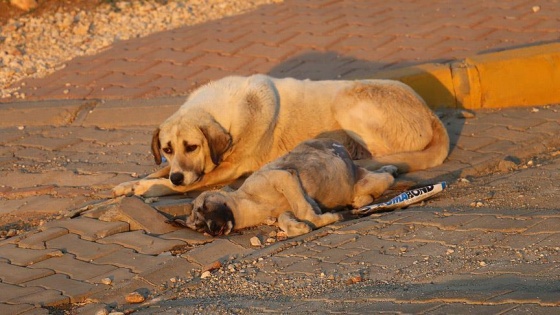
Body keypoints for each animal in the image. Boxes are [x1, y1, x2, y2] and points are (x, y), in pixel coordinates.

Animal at [111, 74, 448, 198]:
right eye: (167, 149)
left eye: (192, 147)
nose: (180, 177)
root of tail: (430, 112)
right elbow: (159, 171)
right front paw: (129, 184)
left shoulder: (224, 170)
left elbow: (169, 182)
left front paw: (145, 188)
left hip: (347, 98)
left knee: (378, 153)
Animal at [179, 139, 398, 238]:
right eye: (200, 227)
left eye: (204, 206)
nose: (213, 230)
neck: (247, 202)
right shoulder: (285, 208)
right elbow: (287, 219)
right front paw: (298, 227)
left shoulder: (283, 176)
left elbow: (305, 211)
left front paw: (323, 219)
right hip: (361, 180)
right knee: (378, 178)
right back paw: (387, 170)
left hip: (363, 181)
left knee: (386, 179)